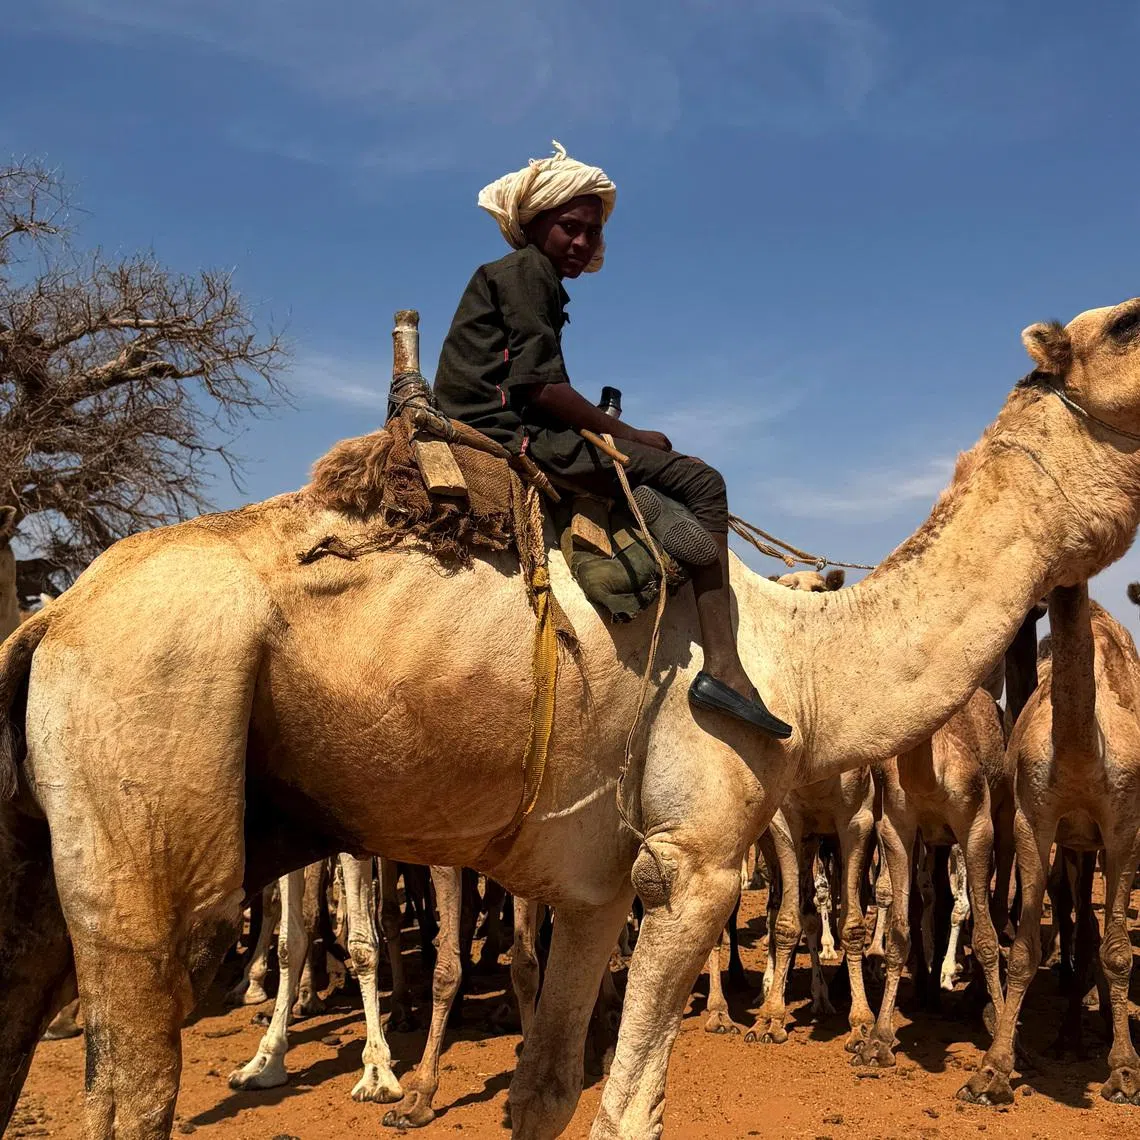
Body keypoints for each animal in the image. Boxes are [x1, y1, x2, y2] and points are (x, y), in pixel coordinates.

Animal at [961, 585, 1140, 1107]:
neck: (1084, 750)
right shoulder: (1033, 819)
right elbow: (1023, 950)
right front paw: (993, 1071)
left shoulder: (1125, 828)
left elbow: (1118, 950)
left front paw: (1124, 1071)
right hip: (1074, 842)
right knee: (1076, 916)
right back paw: (1069, 1037)